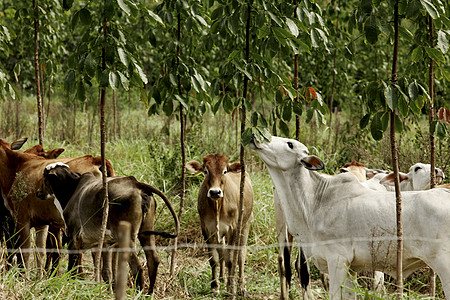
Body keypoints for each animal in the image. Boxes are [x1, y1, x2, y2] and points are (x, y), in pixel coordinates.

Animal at [185, 155, 253, 296]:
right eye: (205, 171)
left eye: (225, 171)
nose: (215, 192)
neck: (217, 206)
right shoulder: (206, 229)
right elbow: (214, 259)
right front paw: (215, 287)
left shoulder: (233, 229)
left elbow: (231, 260)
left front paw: (230, 289)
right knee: (222, 252)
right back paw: (222, 278)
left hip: (246, 224)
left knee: (241, 255)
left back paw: (241, 287)